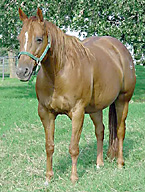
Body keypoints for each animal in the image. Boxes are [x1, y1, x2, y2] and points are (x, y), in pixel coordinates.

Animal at [16, 8, 136, 184]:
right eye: (19, 38)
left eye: (39, 39)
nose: (21, 71)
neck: (58, 74)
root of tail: (121, 50)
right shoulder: (46, 113)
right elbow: (49, 146)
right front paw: (48, 177)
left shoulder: (78, 113)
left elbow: (73, 147)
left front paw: (73, 177)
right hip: (95, 109)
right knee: (100, 131)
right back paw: (99, 164)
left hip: (123, 101)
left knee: (120, 131)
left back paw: (120, 163)